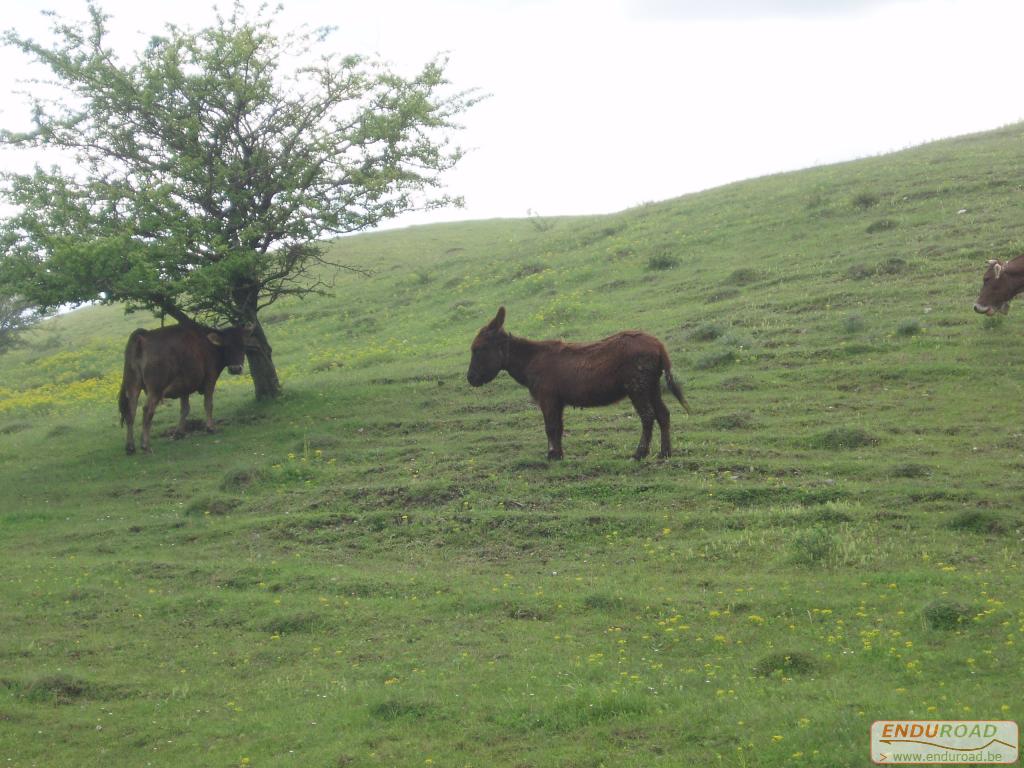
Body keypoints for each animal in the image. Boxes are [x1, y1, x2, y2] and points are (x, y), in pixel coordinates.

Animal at [118, 319, 253, 454]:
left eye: (243, 345)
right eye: (227, 346)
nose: (235, 369)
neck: (209, 345)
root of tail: (143, 336)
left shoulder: (184, 386)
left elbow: (185, 409)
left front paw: (179, 433)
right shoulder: (210, 378)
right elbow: (208, 404)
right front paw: (210, 428)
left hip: (133, 385)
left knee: (130, 412)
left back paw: (130, 446)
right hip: (155, 389)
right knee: (147, 410)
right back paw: (145, 445)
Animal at [468, 309, 692, 462]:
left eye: (478, 349)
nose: (470, 378)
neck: (530, 360)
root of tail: (658, 345)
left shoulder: (547, 398)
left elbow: (550, 427)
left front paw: (552, 455)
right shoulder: (557, 401)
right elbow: (558, 427)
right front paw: (558, 455)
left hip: (636, 387)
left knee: (647, 416)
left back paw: (639, 453)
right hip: (652, 386)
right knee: (663, 414)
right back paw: (665, 452)